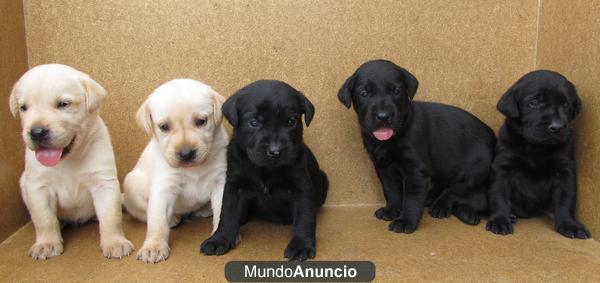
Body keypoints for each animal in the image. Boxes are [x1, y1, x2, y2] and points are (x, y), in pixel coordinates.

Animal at [9, 65, 134, 262]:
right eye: (23, 107)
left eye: (63, 104)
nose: (36, 132)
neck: (69, 158)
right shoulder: (38, 187)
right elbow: (44, 219)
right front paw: (46, 244)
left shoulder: (103, 183)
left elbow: (111, 217)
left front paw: (115, 242)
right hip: (24, 183)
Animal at [123, 78, 229, 264]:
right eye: (164, 126)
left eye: (201, 121)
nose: (186, 154)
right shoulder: (164, 187)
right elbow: (157, 221)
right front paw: (154, 247)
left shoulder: (220, 181)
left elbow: (221, 210)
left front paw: (218, 235)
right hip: (132, 183)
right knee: (143, 214)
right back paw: (172, 218)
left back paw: (204, 209)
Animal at [200, 80, 328, 262]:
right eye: (254, 122)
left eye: (291, 122)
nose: (275, 151)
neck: (265, 170)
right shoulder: (234, 187)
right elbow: (227, 214)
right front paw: (219, 239)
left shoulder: (301, 188)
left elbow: (304, 218)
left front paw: (301, 245)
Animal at [340, 59, 494, 233]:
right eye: (364, 93)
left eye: (397, 91)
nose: (383, 116)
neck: (391, 139)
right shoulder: (384, 168)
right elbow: (391, 190)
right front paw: (392, 209)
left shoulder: (416, 171)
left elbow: (412, 198)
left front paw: (406, 221)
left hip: (475, 168)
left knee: (455, 189)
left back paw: (441, 206)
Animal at [486, 70, 588, 240]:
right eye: (533, 102)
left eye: (566, 104)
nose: (557, 126)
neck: (537, 148)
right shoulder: (503, 168)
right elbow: (499, 194)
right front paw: (499, 220)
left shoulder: (565, 171)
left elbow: (566, 199)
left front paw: (569, 224)